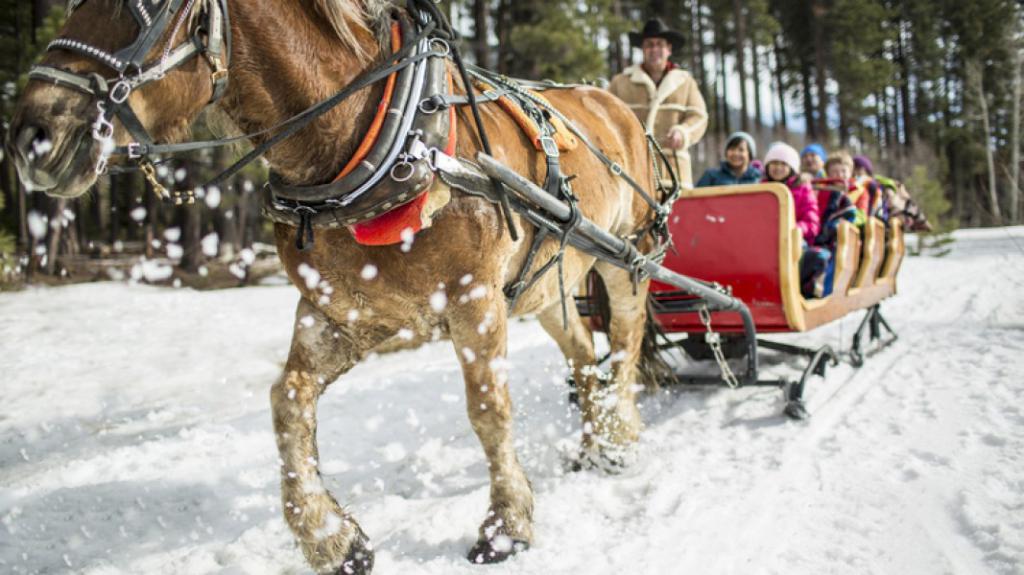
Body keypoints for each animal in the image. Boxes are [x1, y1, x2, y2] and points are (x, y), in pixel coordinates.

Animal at [9, 2, 663, 568]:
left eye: (143, 5)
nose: (31, 135)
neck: (371, 141)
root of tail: (614, 103)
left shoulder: (475, 299)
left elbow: (488, 410)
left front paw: (507, 526)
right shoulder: (344, 312)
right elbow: (289, 401)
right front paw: (331, 538)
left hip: (624, 258)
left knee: (625, 345)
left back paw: (621, 437)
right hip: (545, 285)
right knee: (582, 353)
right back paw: (592, 443)